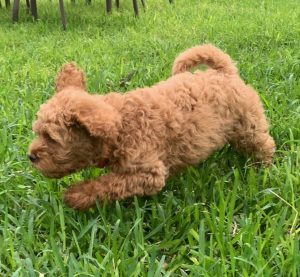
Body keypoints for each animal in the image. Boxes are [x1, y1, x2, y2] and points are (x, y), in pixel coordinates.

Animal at [28, 44, 276, 209]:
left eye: (51, 138)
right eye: (38, 132)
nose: (31, 156)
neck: (122, 125)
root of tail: (225, 72)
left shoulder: (150, 172)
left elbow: (108, 184)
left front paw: (76, 195)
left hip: (247, 125)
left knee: (264, 143)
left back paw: (262, 168)